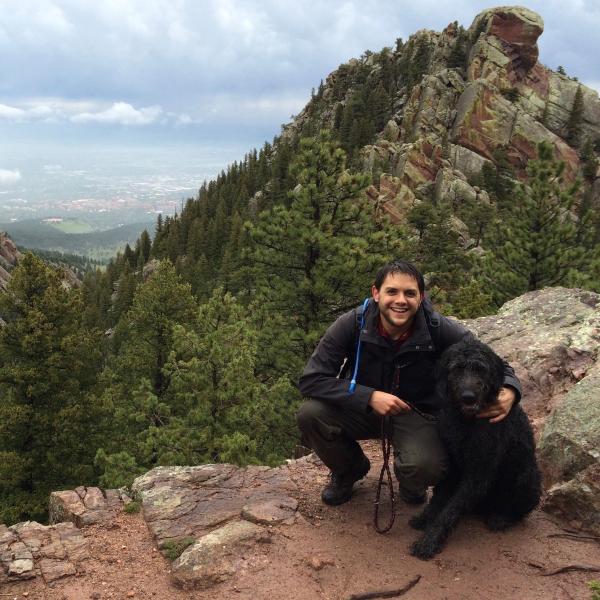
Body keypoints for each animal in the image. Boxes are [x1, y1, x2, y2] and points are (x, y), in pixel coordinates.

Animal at [408, 338, 544, 556]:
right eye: (457, 368)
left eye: (481, 369)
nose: (468, 396)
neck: (467, 422)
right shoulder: (451, 464)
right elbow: (438, 499)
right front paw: (425, 518)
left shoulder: (479, 473)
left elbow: (450, 510)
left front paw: (429, 539)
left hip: (527, 477)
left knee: (520, 510)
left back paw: (502, 517)